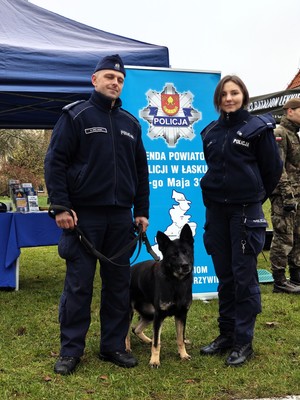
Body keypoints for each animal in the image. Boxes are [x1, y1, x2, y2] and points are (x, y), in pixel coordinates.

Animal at [125, 223, 193, 368]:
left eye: (187, 252)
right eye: (173, 255)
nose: (185, 265)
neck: (175, 282)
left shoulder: (181, 315)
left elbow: (180, 339)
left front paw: (183, 355)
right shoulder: (159, 316)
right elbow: (157, 342)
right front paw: (154, 361)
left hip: (150, 314)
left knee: (135, 329)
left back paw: (147, 340)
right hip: (130, 313)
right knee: (126, 332)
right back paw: (126, 348)